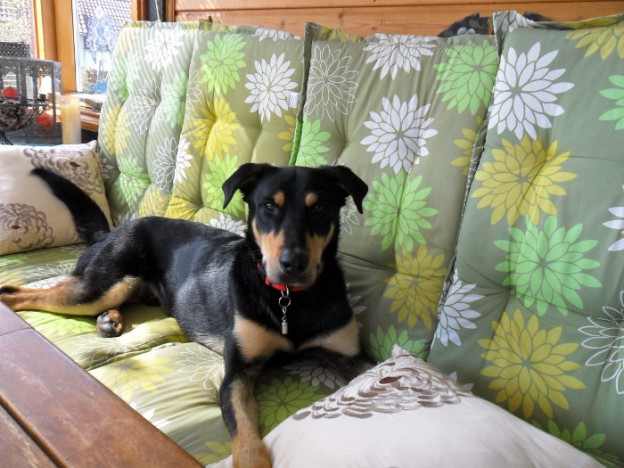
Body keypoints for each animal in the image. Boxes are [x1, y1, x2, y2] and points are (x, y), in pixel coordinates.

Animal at [0, 163, 368, 468]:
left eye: (319, 208)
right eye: (268, 207)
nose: (293, 264)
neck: (290, 299)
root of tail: (114, 230)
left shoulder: (351, 357)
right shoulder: (237, 375)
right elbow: (247, 437)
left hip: (120, 287)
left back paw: (110, 319)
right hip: (98, 287)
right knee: (22, 292)